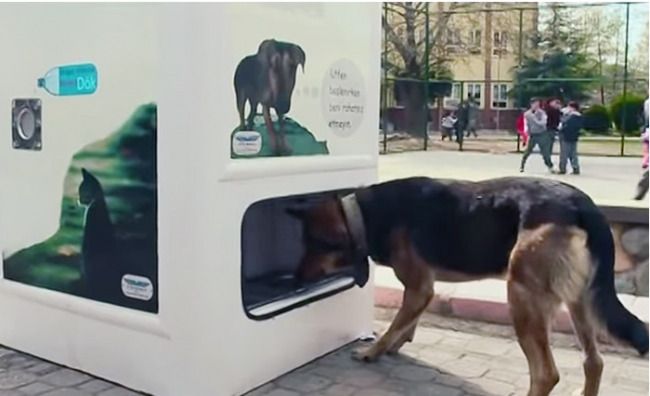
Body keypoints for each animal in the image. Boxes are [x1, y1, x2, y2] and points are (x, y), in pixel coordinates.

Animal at [290, 177, 648, 396]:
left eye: (315, 244)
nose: (295, 280)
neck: (364, 214)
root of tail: (583, 206)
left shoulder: (419, 285)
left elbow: (394, 324)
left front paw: (373, 351)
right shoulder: (423, 288)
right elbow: (408, 320)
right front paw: (398, 342)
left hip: (522, 298)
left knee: (546, 373)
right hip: (580, 302)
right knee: (594, 362)